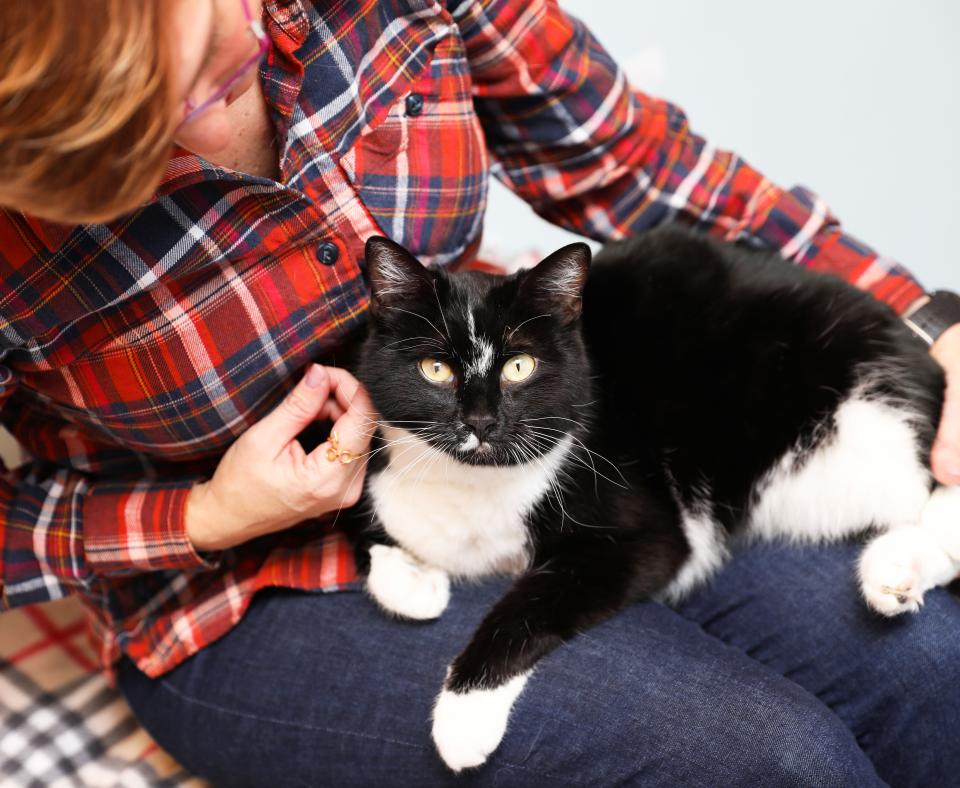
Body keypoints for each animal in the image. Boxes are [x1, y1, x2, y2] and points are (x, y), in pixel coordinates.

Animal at [348, 228, 960, 768]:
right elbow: (374, 537)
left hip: (857, 429)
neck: (474, 484)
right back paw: (893, 574)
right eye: (436, 369)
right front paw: (415, 582)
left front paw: (463, 716)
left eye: (520, 366)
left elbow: (529, 606)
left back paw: (897, 565)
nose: (480, 422)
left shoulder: (648, 532)